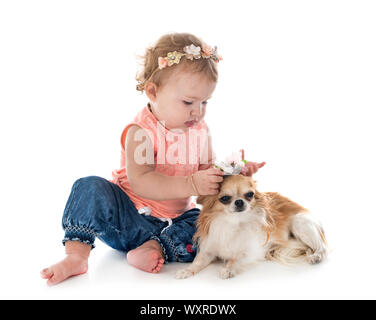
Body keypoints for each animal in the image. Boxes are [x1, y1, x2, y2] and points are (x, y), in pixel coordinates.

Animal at [175, 174, 328, 278]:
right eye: (225, 198)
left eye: (250, 194)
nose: (239, 201)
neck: (233, 222)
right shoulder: (209, 250)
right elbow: (198, 261)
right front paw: (186, 270)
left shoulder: (251, 251)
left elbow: (235, 258)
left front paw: (228, 269)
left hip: (300, 222)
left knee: (322, 247)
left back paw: (316, 256)